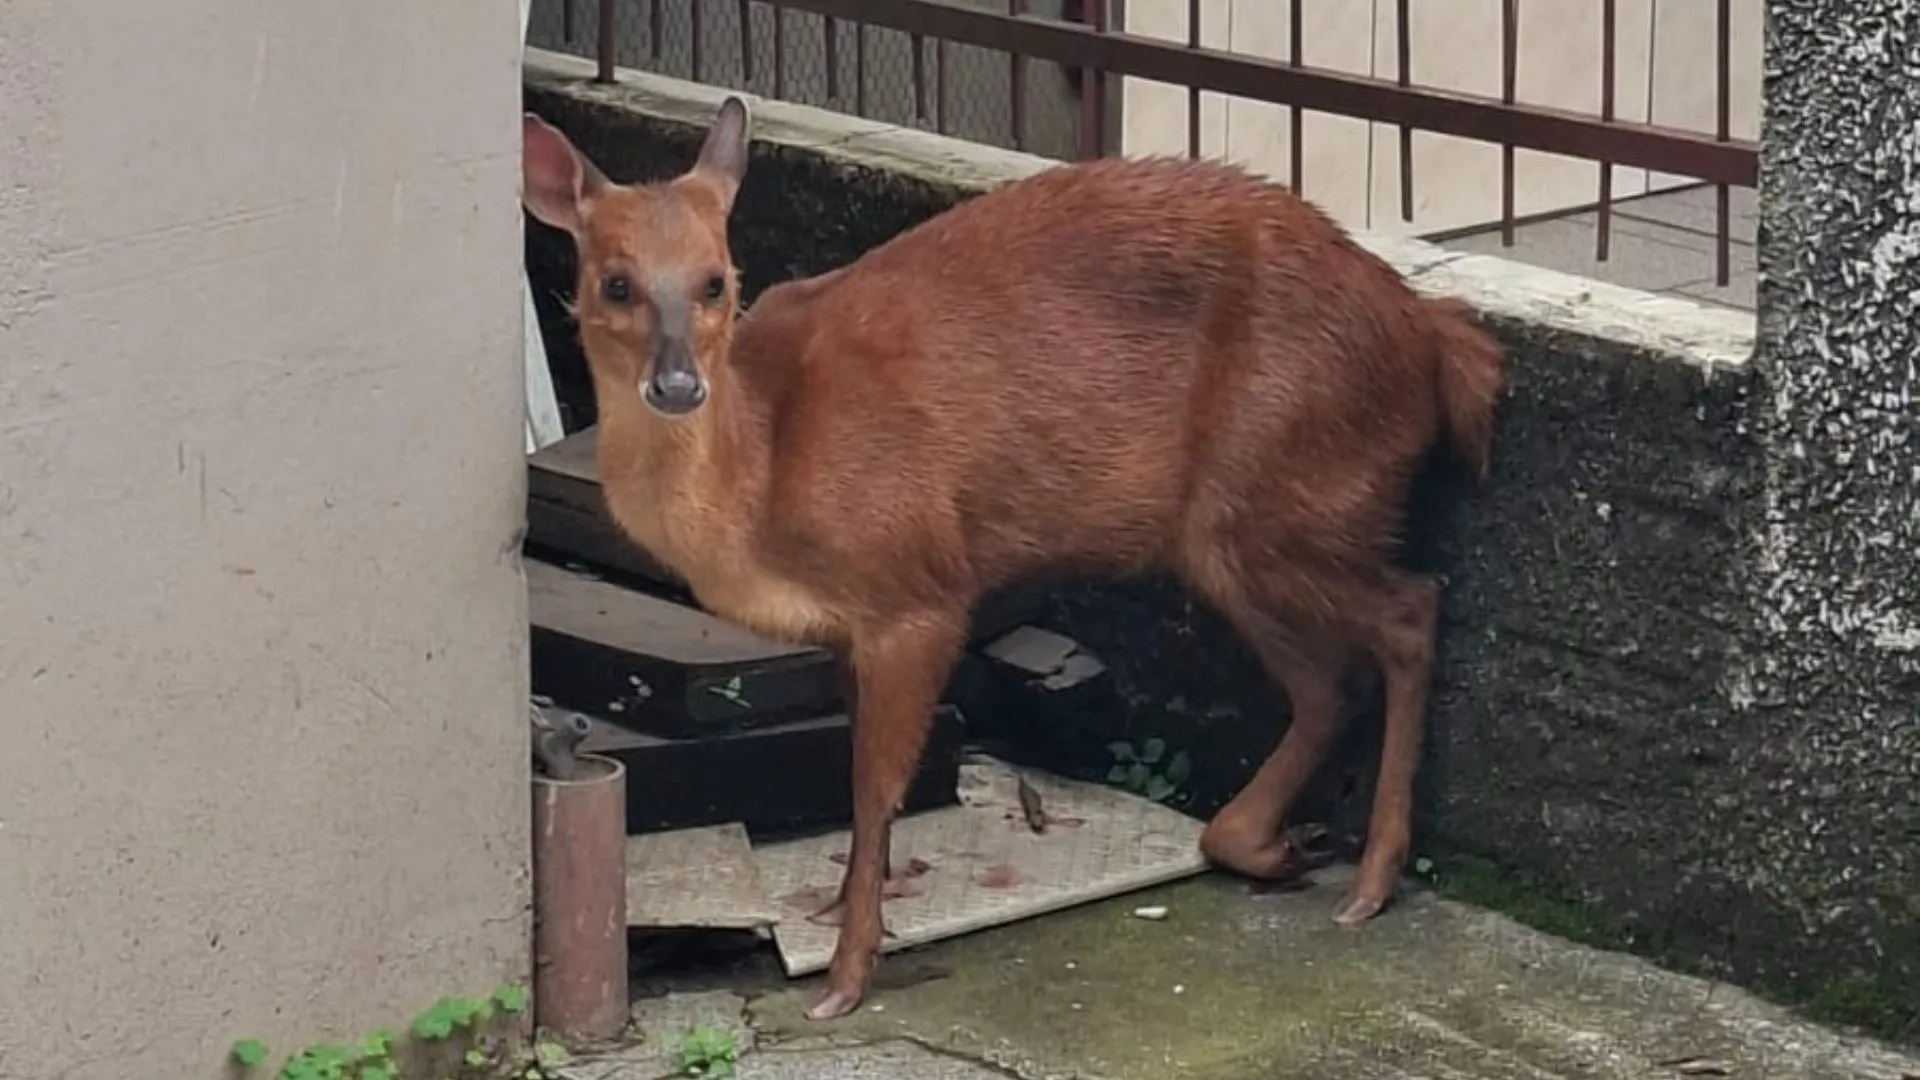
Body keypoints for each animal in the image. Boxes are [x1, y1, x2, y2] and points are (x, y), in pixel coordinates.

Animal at [520, 95, 1503, 1021]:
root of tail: (1433, 339)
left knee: (1410, 612)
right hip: (1231, 530)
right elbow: (858, 786)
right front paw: (839, 917)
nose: (677, 384)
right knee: (1329, 680)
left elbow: (875, 787)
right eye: (615, 282)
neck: (764, 473)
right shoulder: (843, 628)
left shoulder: (917, 584)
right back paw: (1279, 847)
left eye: (717, 281)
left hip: (1287, 482)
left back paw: (1371, 881)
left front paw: (847, 972)